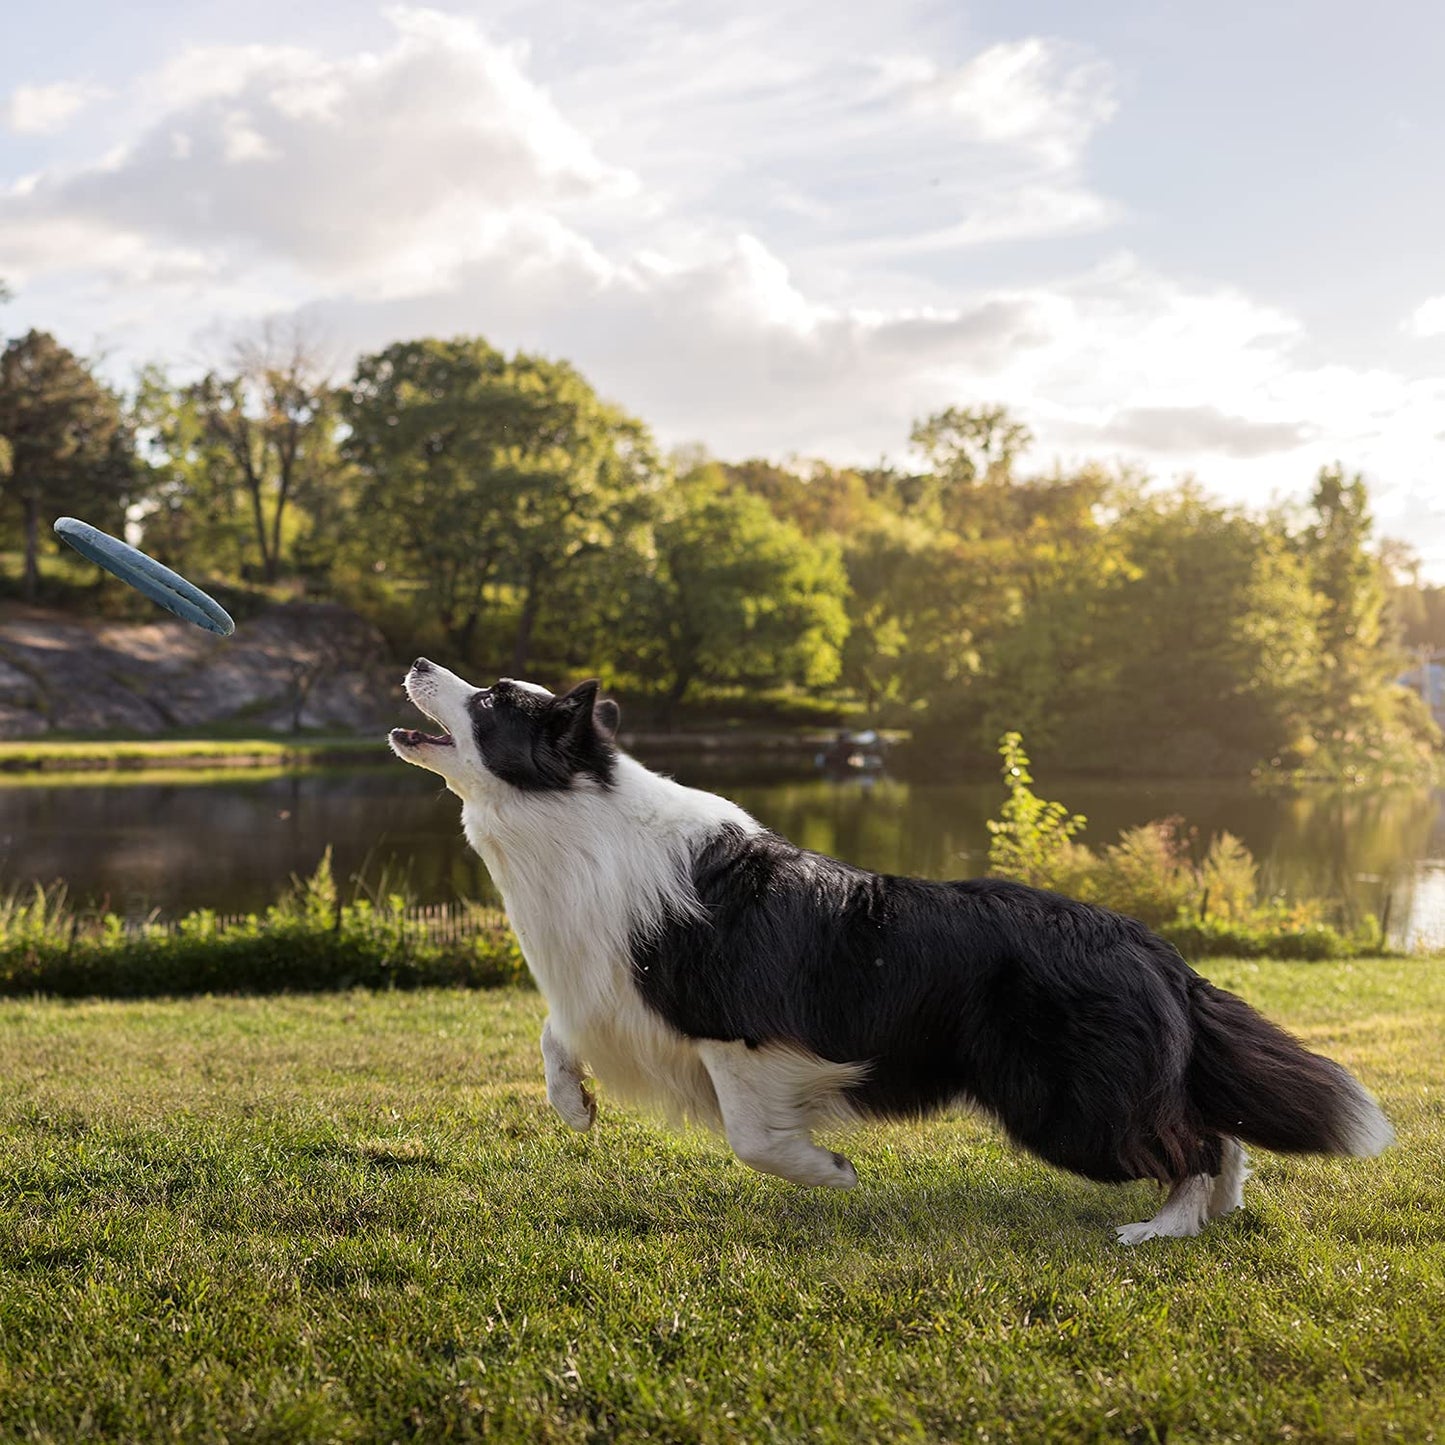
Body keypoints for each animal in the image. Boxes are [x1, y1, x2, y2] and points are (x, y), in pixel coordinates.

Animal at [390, 664, 1392, 1242]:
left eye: (492, 700)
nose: (417, 661)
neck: (573, 817)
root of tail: (1151, 944)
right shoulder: (604, 988)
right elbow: (554, 1032)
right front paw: (575, 1106)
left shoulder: (741, 1032)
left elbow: (753, 1138)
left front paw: (827, 1171)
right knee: (1218, 1132)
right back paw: (1212, 1214)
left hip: (1060, 1102)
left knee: (1192, 1136)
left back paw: (1163, 1230)